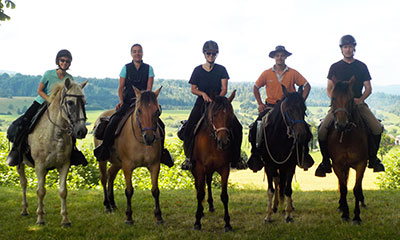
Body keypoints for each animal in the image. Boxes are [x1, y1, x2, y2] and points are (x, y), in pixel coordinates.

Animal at [16, 79, 87, 227]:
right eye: (70, 102)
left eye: (85, 102)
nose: (82, 131)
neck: (55, 134)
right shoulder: (39, 166)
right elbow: (40, 191)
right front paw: (40, 219)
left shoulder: (64, 165)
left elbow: (63, 191)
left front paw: (65, 220)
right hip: (20, 164)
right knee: (24, 183)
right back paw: (25, 210)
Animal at [93, 86, 163, 225]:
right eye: (139, 110)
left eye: (157, 111)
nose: (149, 138)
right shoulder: (127, 166)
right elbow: (129, 191)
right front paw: (129, 217)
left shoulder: (154, 165)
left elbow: (155, 190)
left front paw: (158, 217)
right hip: (103, 160)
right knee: (104, 178)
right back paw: (107, 206)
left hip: (117, 163)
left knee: (111, 175)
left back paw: (113, 203)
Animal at [191, 90, 238, 232]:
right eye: (215, 114)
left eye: (231, 115)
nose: (223, 142)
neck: (212, 142)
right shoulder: (200, 168)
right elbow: (200, 193)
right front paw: (197, 221)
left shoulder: (224, 168)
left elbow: (224, 196)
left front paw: (227, 223)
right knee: (199, 187)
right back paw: (201, 211)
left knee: (208, 182)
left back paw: (210, 206)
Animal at [260, 86, 310, 223]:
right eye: (289, 110)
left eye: (304, 109)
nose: (302, 135)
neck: (279, 138)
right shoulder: (269, 165)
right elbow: (270, 190)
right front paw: (268, 215)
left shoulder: (290, 166)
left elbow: (288, 189)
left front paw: (288, 214)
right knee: (277, 182)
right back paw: (275, 206)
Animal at [326, 77, 368, 223]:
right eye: (333, 98)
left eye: (351, 99)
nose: (341, 125)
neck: (347, 137)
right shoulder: (337, 165)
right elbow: (343, 188)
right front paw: (345, 214)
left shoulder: (361, 164)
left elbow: (356, 188)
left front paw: (356, 216)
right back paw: (341, 206)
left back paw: (362, 201)